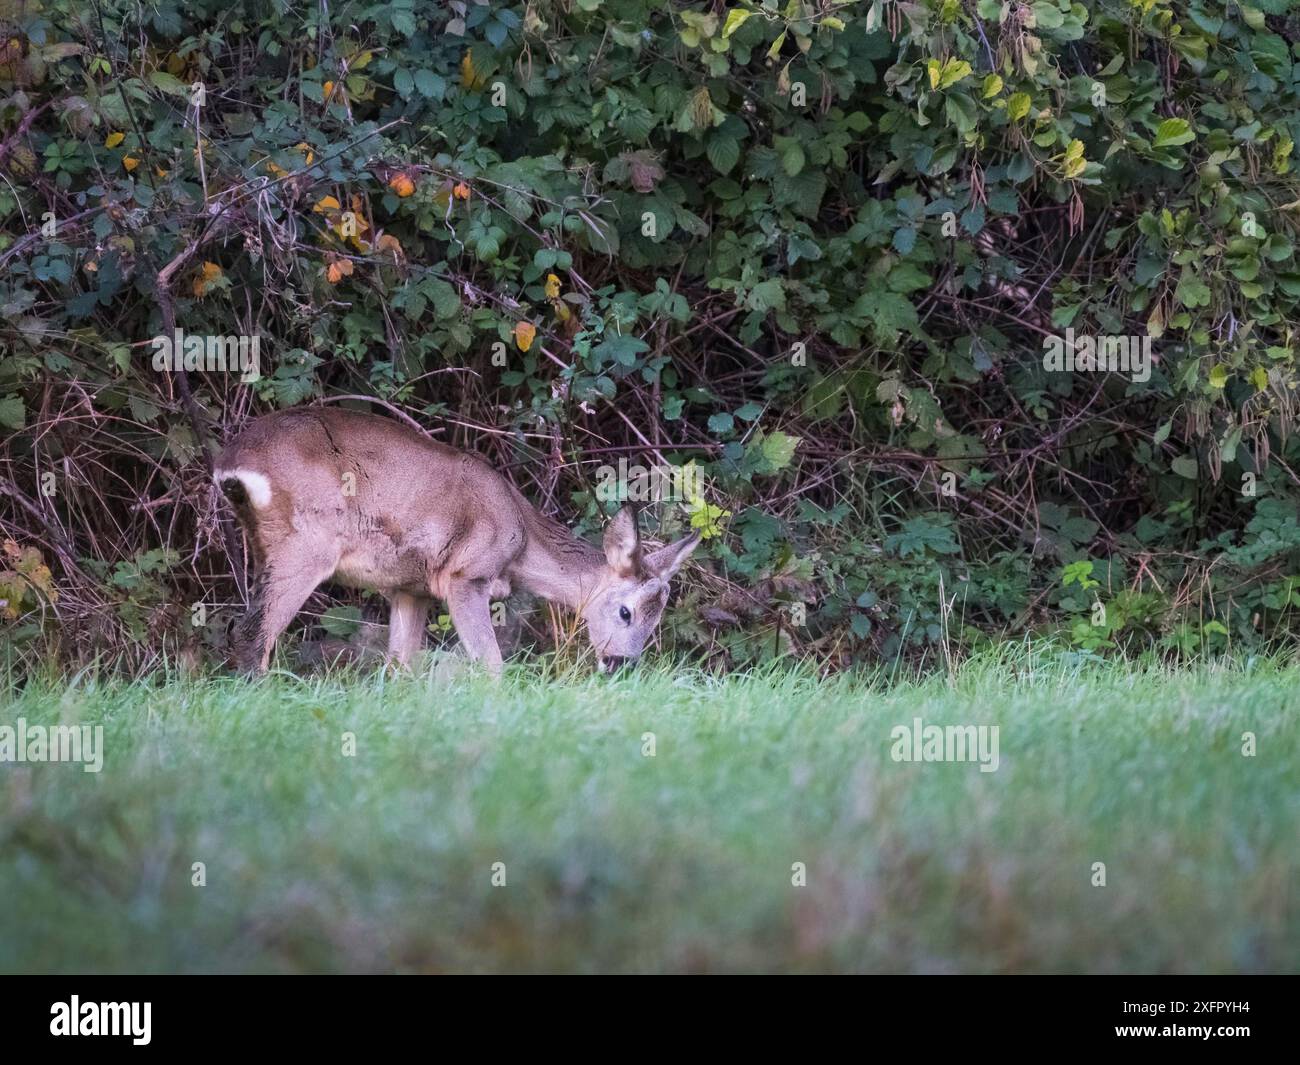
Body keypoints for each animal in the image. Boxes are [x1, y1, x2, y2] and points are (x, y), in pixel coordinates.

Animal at [213, 408, 702, 676]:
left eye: (657, 618)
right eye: (625, 611)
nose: (619, 664)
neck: (521, 540)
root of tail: (231, 465)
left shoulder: (409, 588)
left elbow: (400, 667)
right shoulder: (465, 575)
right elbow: (491, 664)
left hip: (265, 543)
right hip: (305, 544)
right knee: (253, 634)